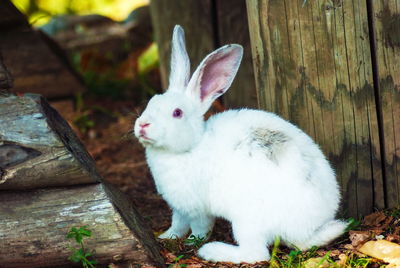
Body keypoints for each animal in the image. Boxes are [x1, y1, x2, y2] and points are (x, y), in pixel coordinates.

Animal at [134, 25, 346, 264]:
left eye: (177, 113)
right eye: (151, 102)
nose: (142, 125)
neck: (190, 148)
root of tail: (307, 231)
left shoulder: (197, 209)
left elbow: (200, 228)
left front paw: (191, 243)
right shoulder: (178, 209)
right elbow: (177, 224)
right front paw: (166, 237)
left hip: (247, 220)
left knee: (256, 253)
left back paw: (212, 250)